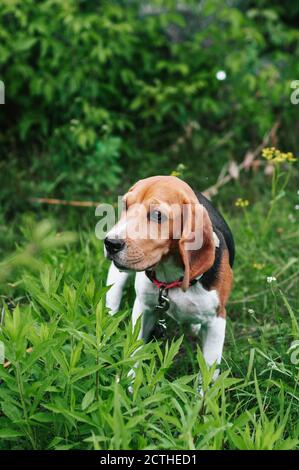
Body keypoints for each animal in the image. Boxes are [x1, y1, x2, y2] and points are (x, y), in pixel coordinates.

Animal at [104, 175, 236, 378]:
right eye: (125, 205)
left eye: (158, 216)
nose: (111, 243)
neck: (172, 280)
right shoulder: (144, 307)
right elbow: (135, 351)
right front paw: (128, 382)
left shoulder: (217, 321)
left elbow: (208, 372)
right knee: (114, 285)